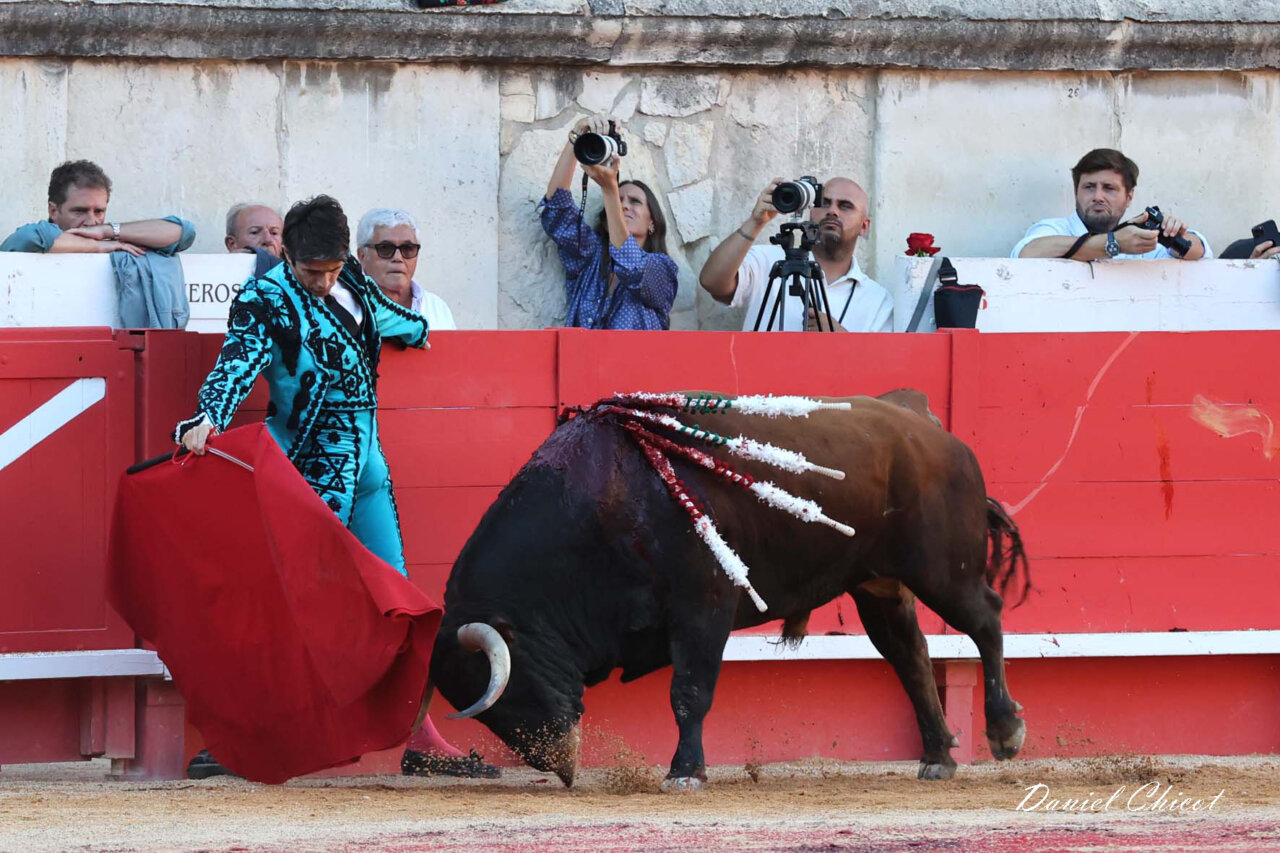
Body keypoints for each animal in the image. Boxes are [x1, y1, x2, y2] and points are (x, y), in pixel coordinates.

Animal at [428, 389, 1029, 790]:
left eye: (510, 689)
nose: (563, 767)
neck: (601, 505)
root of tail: (923, 421)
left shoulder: (704, 609)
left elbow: (690, 692)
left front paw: (685, 772)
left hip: (943, 570)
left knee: (985, 619)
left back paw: (1004, 731)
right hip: (880, 585)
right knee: (911, 654)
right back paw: (938, 757)